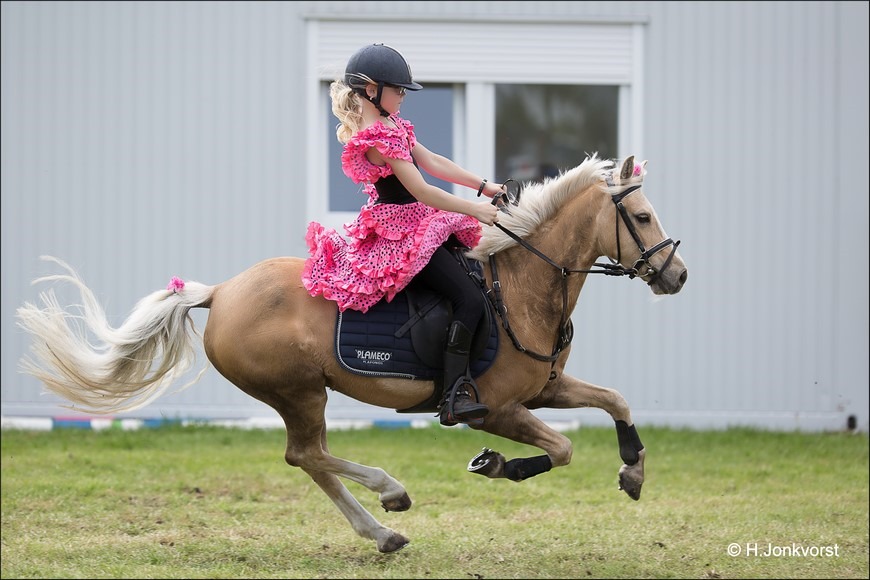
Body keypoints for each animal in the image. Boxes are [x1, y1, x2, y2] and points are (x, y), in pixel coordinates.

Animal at [16, 154, 687, 553]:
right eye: (642, 216)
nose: (676, 276)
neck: (523, 285)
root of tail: (221, 292)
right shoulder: (495, 408)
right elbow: (563, 448)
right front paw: (497, 465)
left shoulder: (542, 391)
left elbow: (615, 401)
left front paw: (633, 470)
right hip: (298, 390)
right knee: (307, 454)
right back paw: (389, 498)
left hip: (299, 393)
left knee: (311, 458)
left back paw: (382, 529)